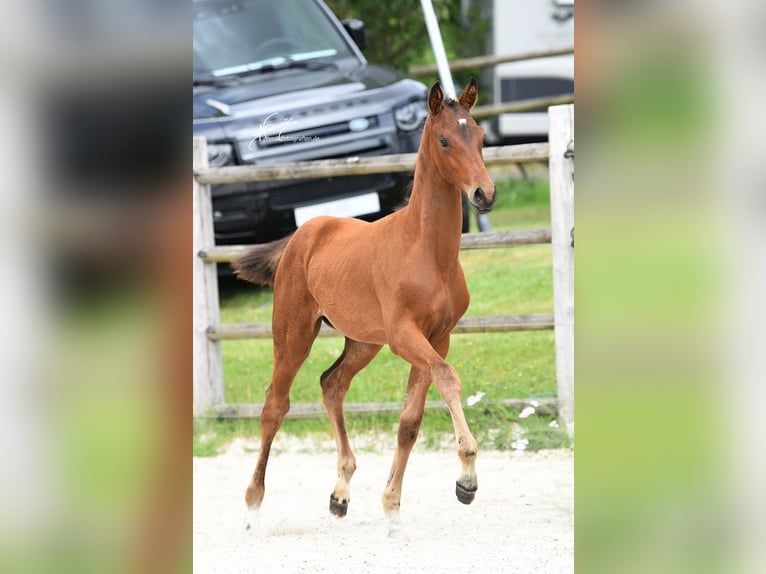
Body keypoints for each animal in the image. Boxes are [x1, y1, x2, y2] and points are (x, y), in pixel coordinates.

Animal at [232, 78, 496, 534]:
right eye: (444, 140)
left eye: (480, 138)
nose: (485, 194)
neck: (428, 252)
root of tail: (303, 234)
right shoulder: (404, 336)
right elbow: (448, 378)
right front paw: (467, 476)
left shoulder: (437, 338)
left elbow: (410, 422)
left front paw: (392, 505)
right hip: (294, 334)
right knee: (274, 406)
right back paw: (252, 506)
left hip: (362, 341)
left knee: (332, 383)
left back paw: (340, 494)